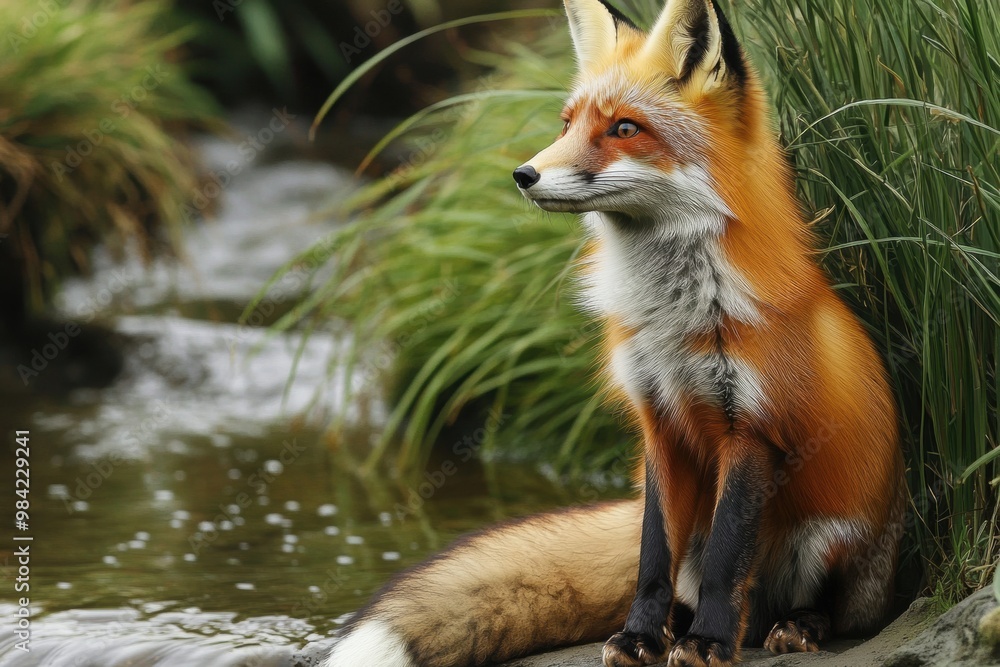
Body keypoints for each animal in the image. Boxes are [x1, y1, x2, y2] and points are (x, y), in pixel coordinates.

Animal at [324, 0, 907, 666]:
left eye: (625, 129)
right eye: (567, 124)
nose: (523, 174)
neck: (674, 323)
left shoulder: (754, 430)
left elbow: (727, 562)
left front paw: (709, 641)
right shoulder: (658, 423)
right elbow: (652, 558)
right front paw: (643, 636)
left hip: (828, 538)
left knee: (824, 610)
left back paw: (792, 627)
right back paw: (684, 624)